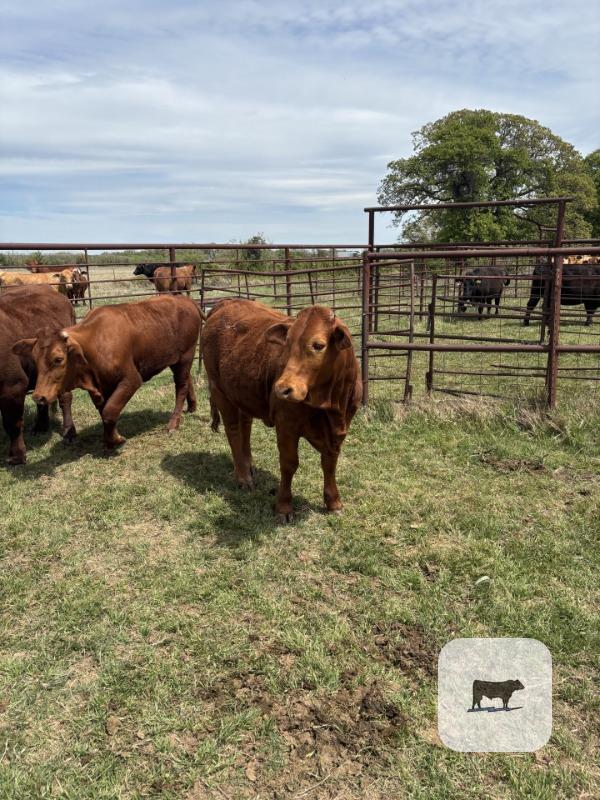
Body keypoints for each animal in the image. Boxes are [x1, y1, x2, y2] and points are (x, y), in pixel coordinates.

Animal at [1, 286, 76, 465]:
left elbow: (12, 423)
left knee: (65, 399)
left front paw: (17, 455)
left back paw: (68, 432)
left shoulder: (12, 385)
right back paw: (41, 426)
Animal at [14, 295, 201, 451]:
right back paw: (191, 406)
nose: (39, 396)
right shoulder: (99, 386)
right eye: (35, 358)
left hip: (185, 357)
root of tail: (186, 300)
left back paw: (173, 424)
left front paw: (116, 440)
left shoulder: (131, 380)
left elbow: (110, 411)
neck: (94, 343)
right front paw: (109, 441)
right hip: (178, 361)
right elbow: (104, 411)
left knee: (181, 386)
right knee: (188, 380)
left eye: (58, 359)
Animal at [201, 299, 362, 522]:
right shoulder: (287, 425)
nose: (281, 388)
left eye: (318, 345)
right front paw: (284, 507)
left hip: (242, 392)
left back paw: (249, 465)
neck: (330, 407)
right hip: (219, 390)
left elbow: (329, 463)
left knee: (245, 426)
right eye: (287, 344)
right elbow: (289, 463)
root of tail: (226, 302)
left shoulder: (340, 429)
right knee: (233, 431)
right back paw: (243, 477)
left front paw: (334, 502)